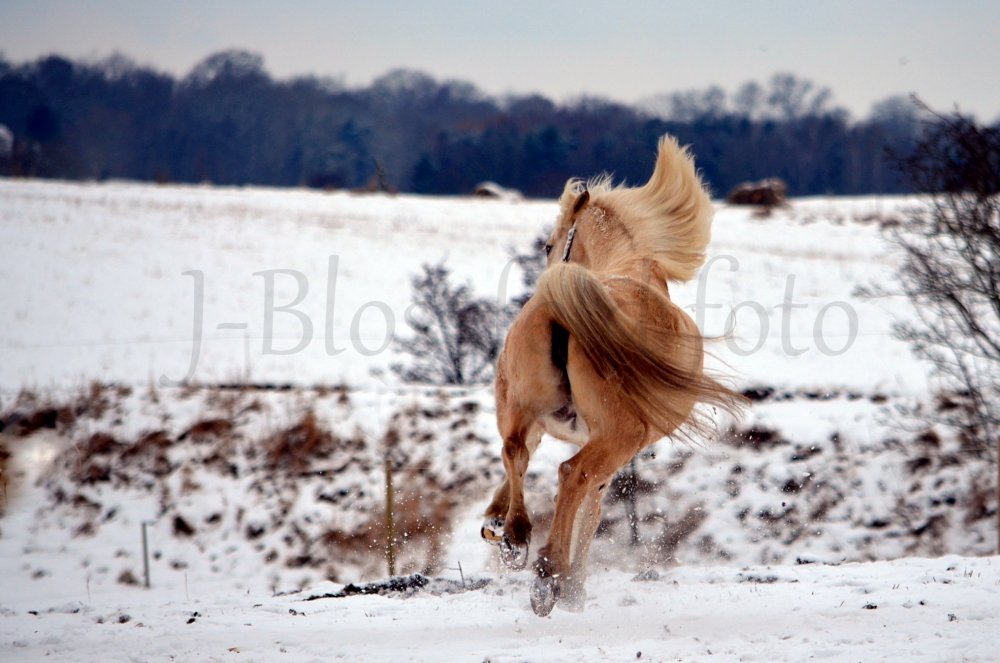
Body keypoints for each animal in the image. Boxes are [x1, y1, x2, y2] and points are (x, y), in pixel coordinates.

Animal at [481, 135, 742, 616]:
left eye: (547, 245)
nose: (548, 261)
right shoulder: (610, 448)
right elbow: (592, 511)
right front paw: (574, 586)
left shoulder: (555, 426)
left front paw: (497, 521)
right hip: (619, 435)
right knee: (571, 475)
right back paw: (548, 574)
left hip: (522, 408)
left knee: (516, 454)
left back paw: (517, 538)